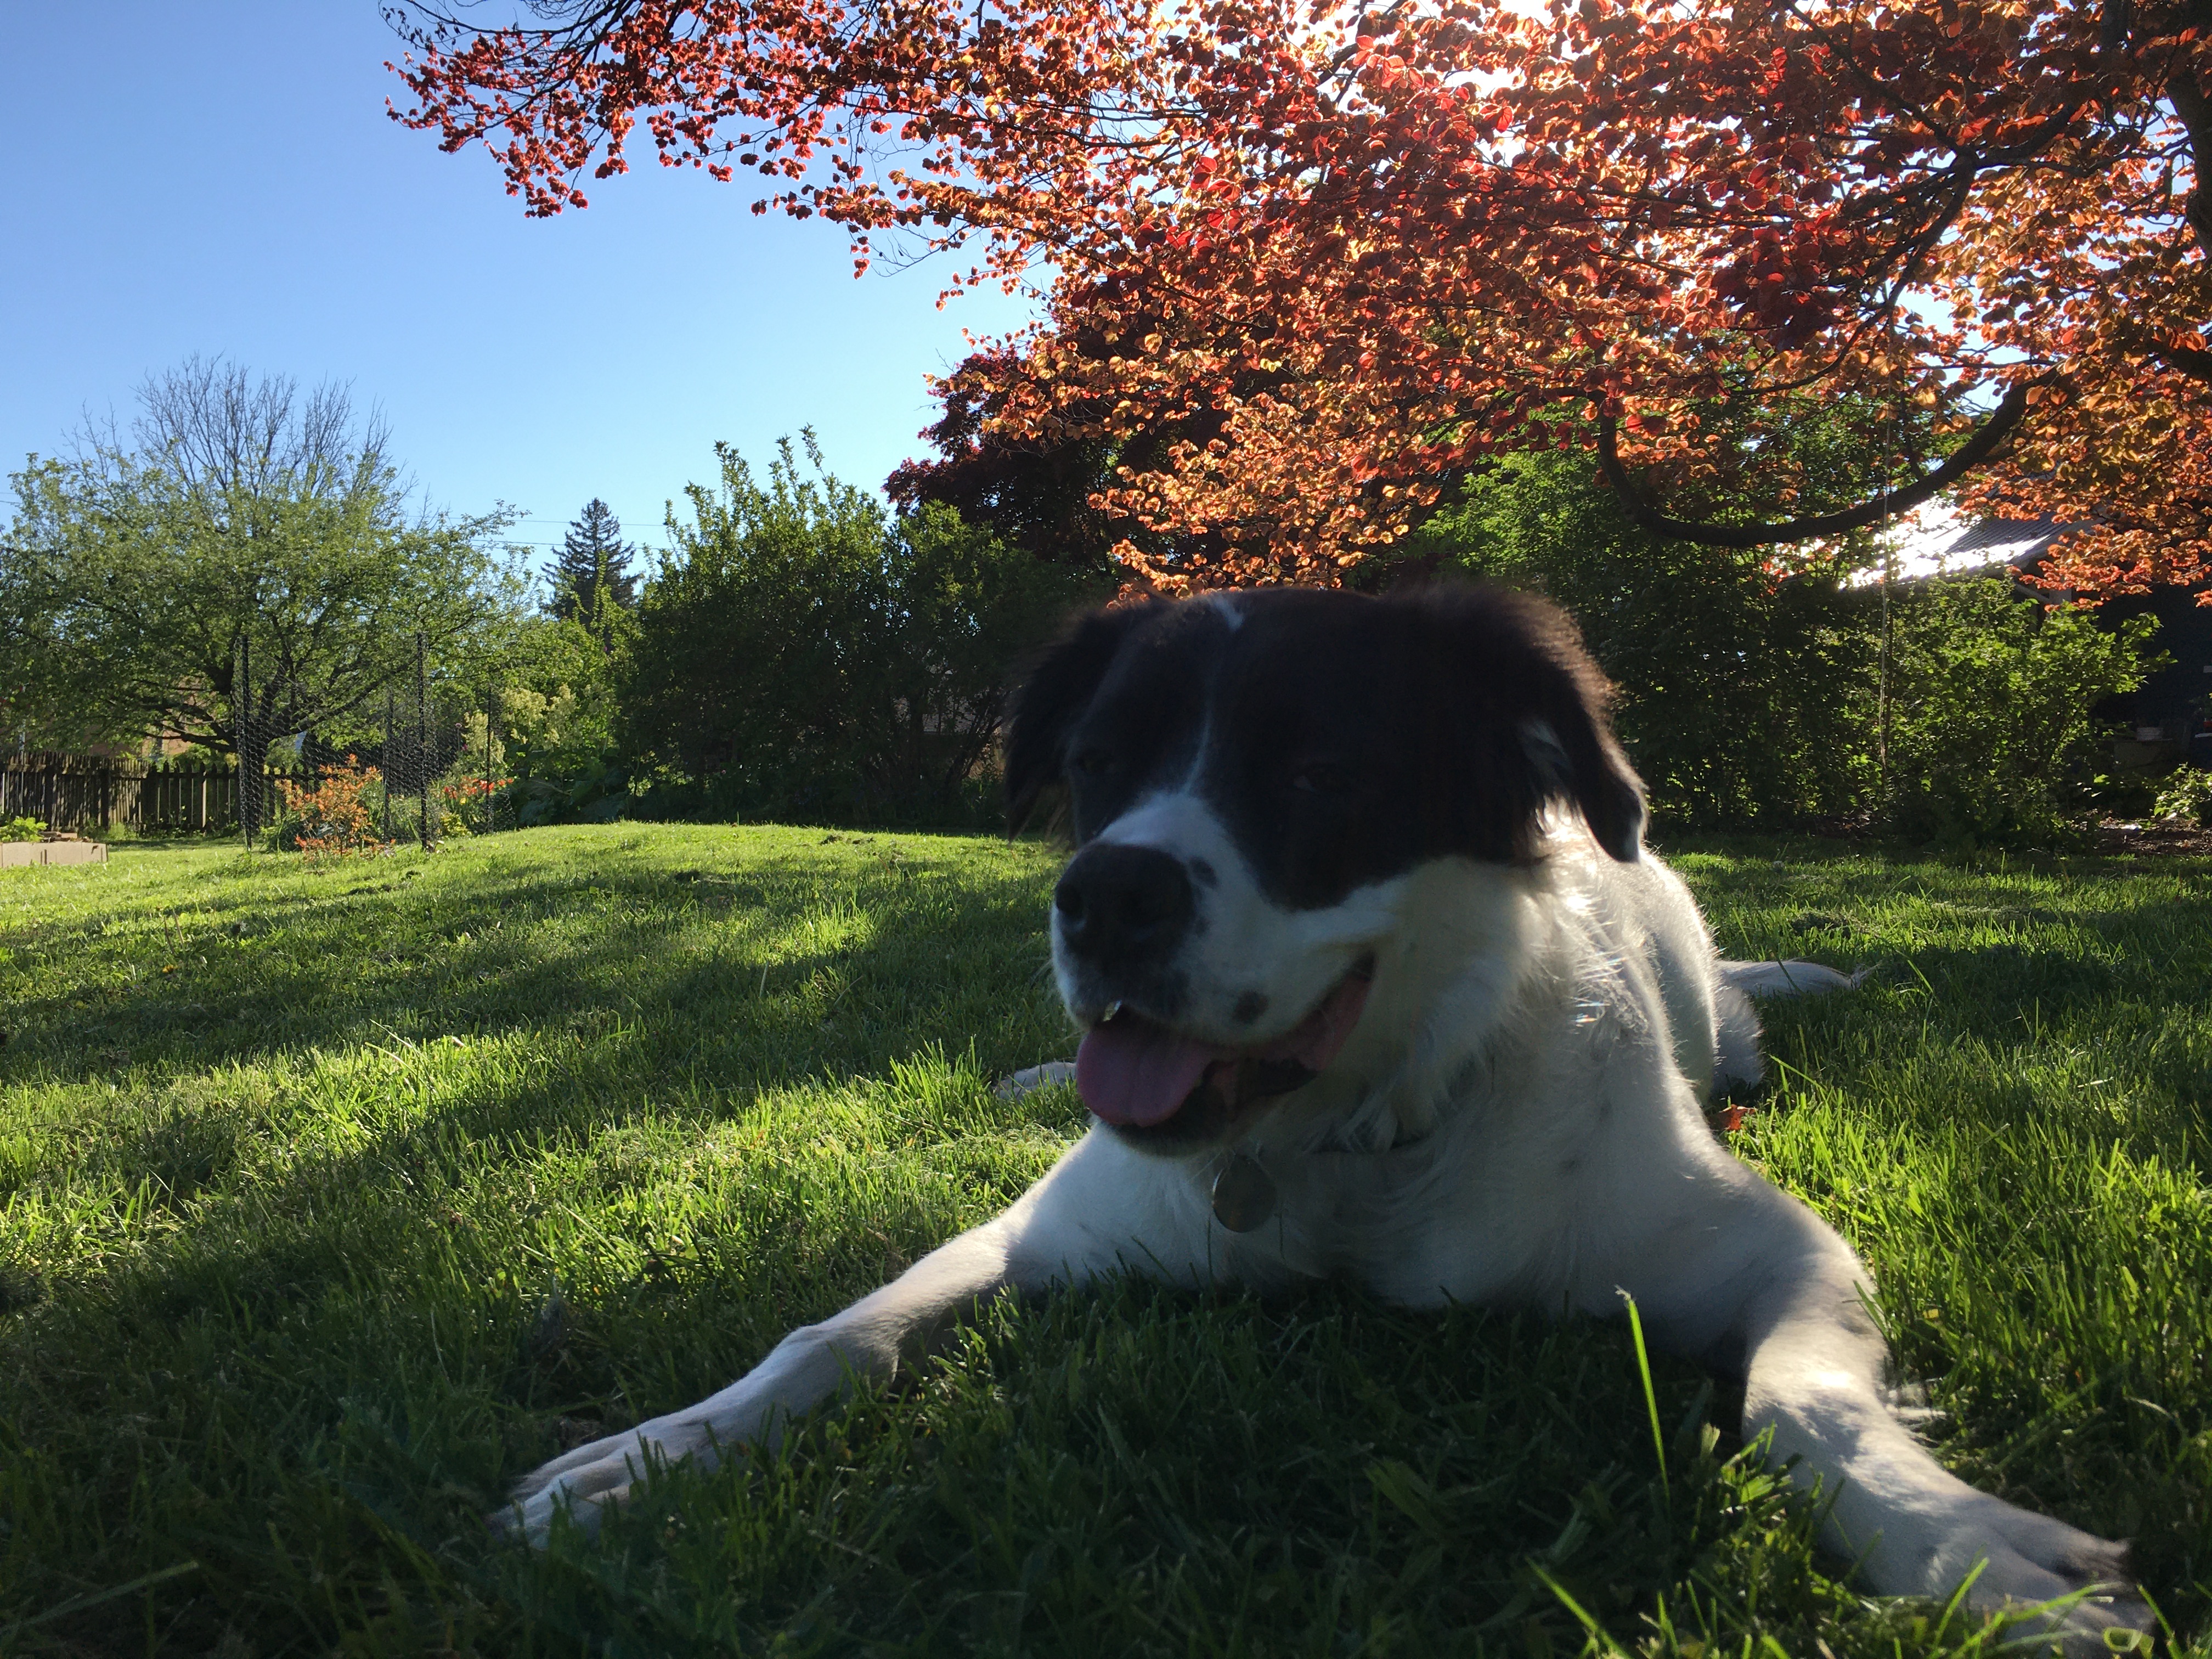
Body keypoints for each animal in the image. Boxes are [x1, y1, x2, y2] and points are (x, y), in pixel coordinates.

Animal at [506, 584, 2141, 1654]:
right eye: (1099, 767)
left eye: (1316, 772)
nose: (1105, 894)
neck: (1346, 1149)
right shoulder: (1052, 1227)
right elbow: (833, 1333)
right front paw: (653, 1456)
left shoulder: (1777, 1252)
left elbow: (1806, 1405)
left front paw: (1967, 1551)